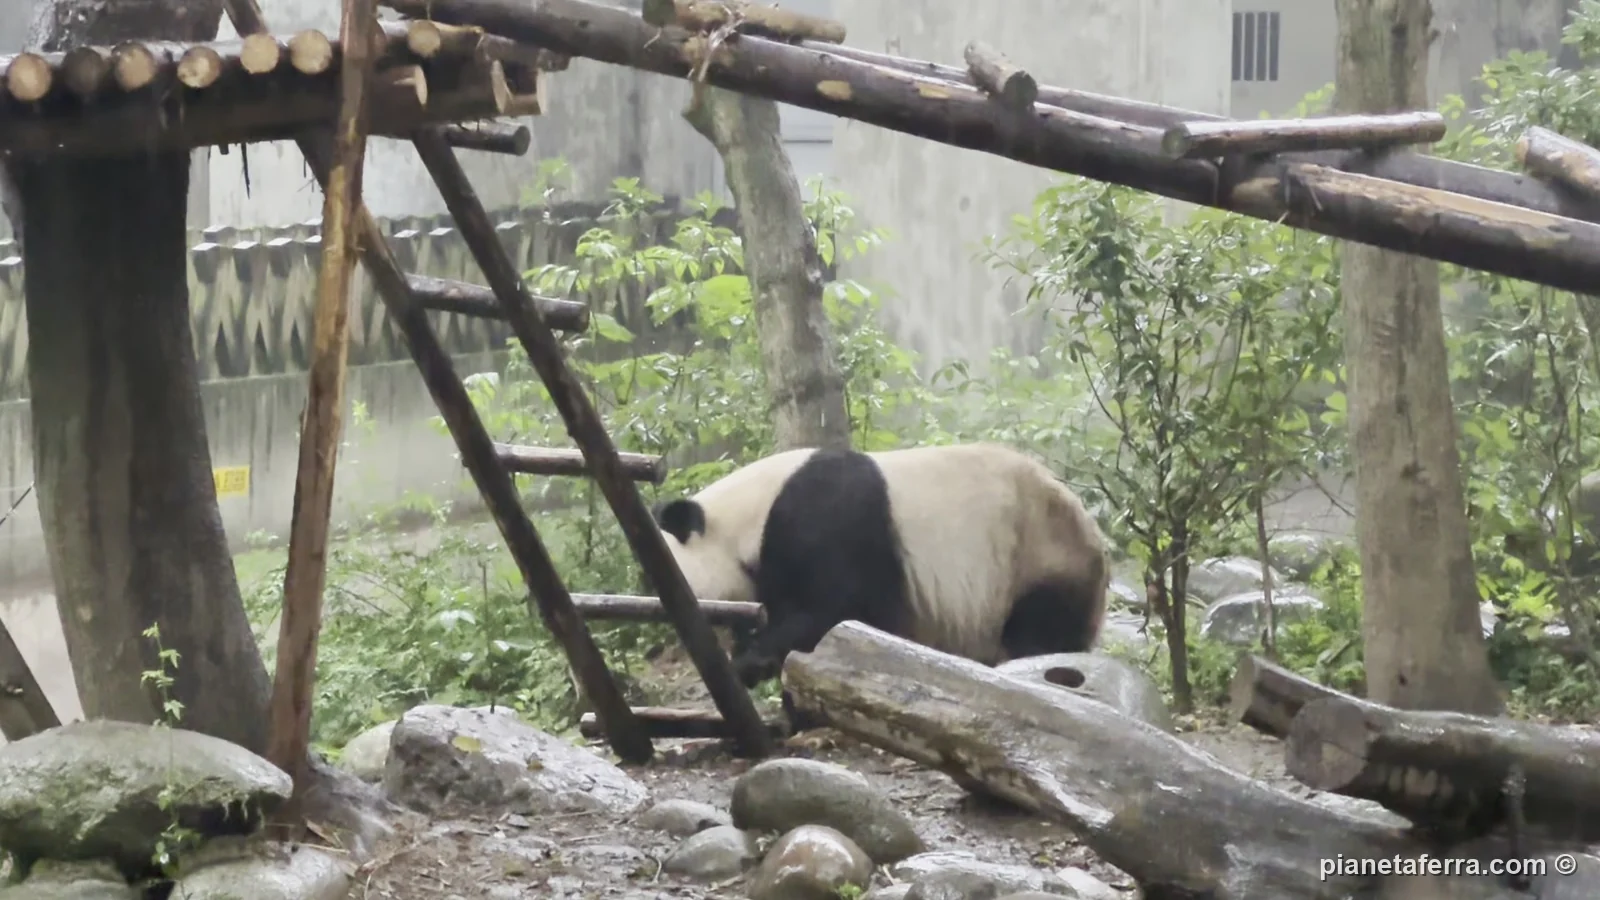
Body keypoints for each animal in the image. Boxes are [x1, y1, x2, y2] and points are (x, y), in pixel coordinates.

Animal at [651, 442, 1112, 687]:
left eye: (673, 579)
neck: (749, 514)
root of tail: (1097, 540)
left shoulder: (824, 521)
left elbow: (836, 610)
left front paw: (752, 663)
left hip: (1037, 556)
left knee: (1039, 627)